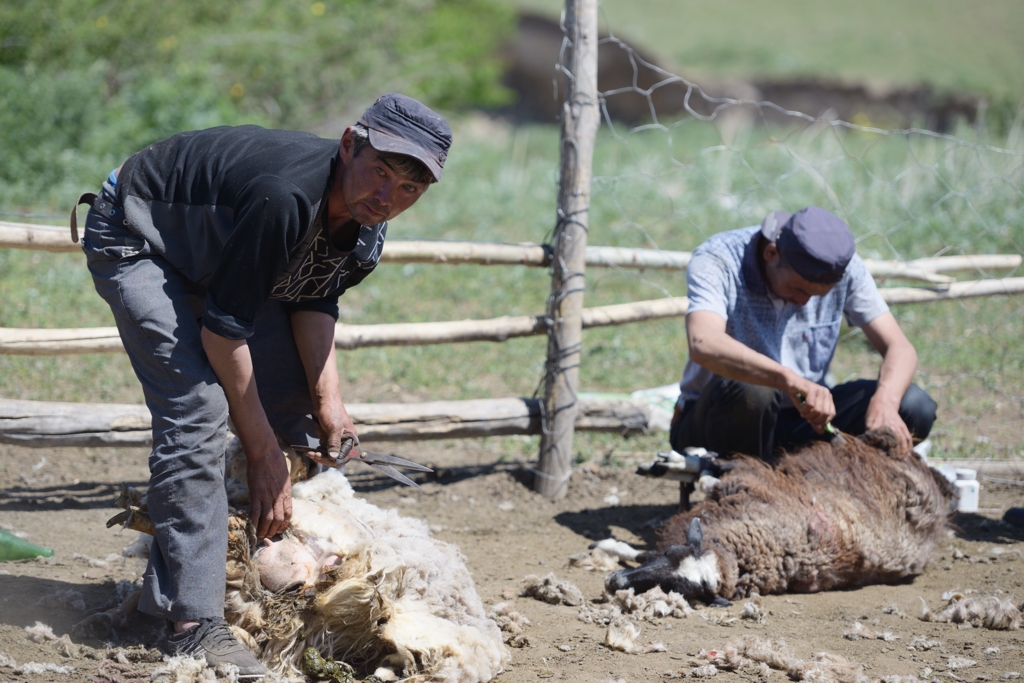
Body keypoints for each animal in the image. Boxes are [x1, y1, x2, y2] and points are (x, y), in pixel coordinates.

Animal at [598, 430, 954, 606]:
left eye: (676, 590)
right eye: (671, 555)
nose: (614, 582)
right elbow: (643, 552)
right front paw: (609, 546)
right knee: (718, 464)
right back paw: (670, 462)